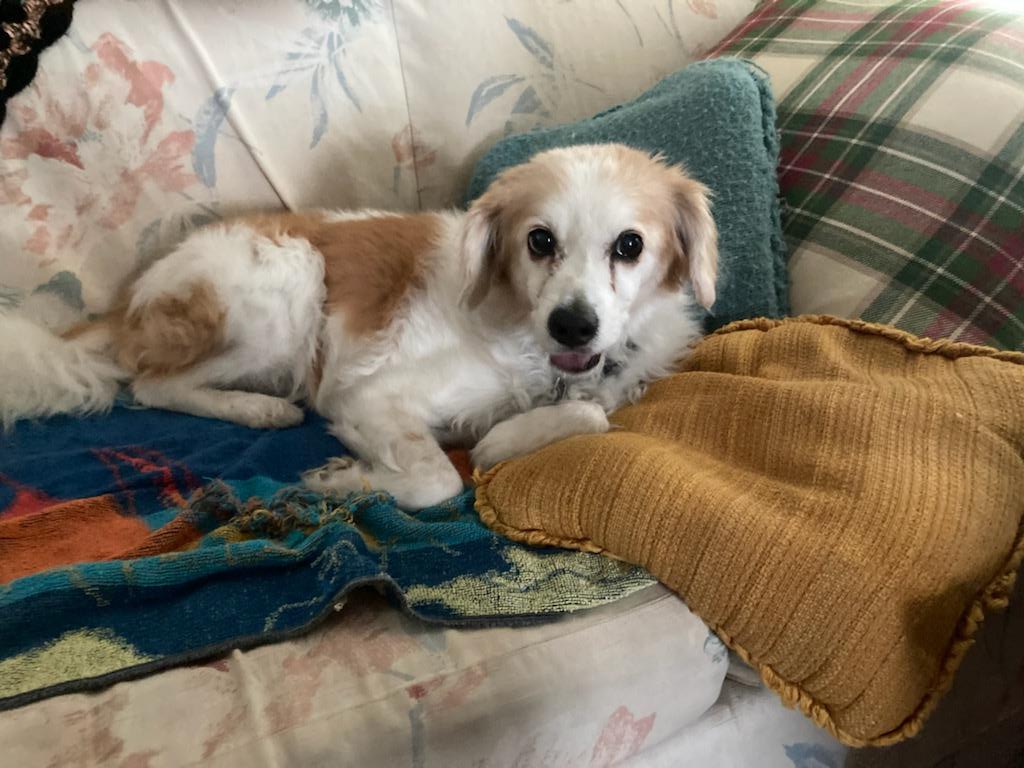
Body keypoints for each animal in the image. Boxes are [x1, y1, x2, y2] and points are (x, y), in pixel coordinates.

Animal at [0, 144, 716, 512]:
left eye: (629, 246)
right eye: (539, 241)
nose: (573, 326)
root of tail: (127, 298)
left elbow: (587, 416)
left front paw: (500, 441)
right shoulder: (369, 394)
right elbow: (438, 481)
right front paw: (345, 480)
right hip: (288, 285)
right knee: (151, 384)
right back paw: (257, 409)